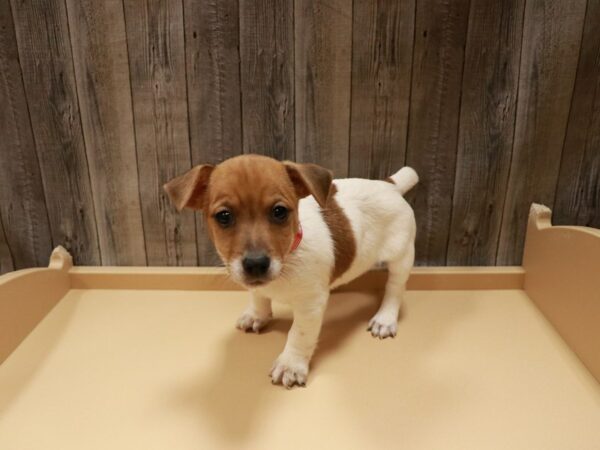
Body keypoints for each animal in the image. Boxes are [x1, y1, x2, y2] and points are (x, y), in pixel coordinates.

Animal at [164, 154, 418, 386]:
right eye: (224, 216)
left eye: (279, 212)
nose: (256, 263)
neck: (288, 258)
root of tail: (390, 184)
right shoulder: (258, 287)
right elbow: (258, 296)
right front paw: (257, 315)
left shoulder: (310, 306)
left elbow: (298, 335)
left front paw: (290, 365)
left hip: (401, 256)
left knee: (395, 288)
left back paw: (385, 318)